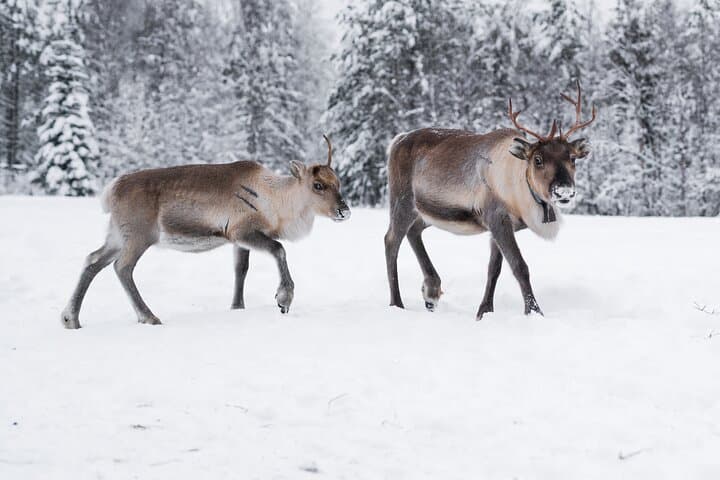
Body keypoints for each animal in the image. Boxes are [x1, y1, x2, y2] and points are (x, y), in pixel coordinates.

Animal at [61, 135, 350, 329]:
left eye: (338, 182)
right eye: (317, 185)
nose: (344, 211)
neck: (277, 200)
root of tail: (110, 191)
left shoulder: (239, 240)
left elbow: (241, 270)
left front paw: (237, 307)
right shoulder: (242, 231)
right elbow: (279, 249)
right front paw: (284, 299)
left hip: (117, 235)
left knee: (93, 261)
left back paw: (70, 319)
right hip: (139, 235)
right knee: (122, 267)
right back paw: (149, 316)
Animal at [384, 81, 597, 319]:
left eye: (572, 158)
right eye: (538, 159)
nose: (564, 191)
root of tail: (397, 140)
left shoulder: (501, 226)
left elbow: (494, 269)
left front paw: (484, 311)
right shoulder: (497, 218)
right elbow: (519, 266)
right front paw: (534, 311)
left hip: (427, 212)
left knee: (414, 231)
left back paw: (431, 291)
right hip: (402, 201)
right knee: (391, 240)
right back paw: (397, 302)